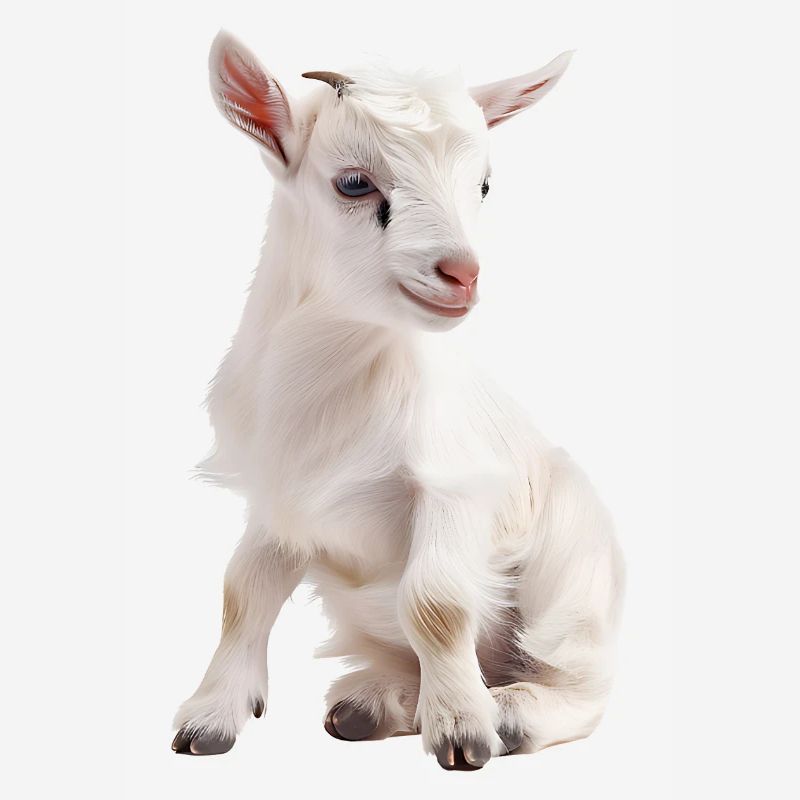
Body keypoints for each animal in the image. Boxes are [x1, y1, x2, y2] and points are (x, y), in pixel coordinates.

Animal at [172, 31, 625, 771]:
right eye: (355, 182)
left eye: (483, 184)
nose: (463, 273)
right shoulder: (278, 501)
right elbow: (242, 592)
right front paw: (209, 717)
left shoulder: (453, 485)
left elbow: (436, 603)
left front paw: (464, 731)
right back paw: (375, 704)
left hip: (572, 570)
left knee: (578, 678)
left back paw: (510, 711)